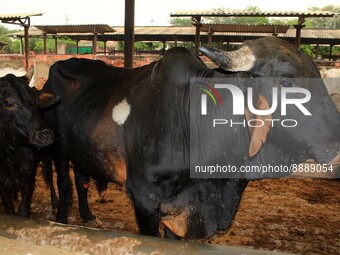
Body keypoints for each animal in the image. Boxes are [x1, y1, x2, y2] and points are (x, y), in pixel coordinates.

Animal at [0, 68, 59, 217]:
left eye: (36, 100)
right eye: (8, 103)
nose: (46, 134)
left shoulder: (29, 180)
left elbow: (23, 211)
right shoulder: (2, 185)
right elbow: (9, 211)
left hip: (48, 156)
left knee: (49, 177)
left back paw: (55, 203)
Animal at [42, 37, 340, 239]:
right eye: (287, 81)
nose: (336, 141)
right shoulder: (144, 200)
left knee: (82, 180)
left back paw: (88, 217)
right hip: (56, 149)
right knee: (65, 184)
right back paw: (59, 220)